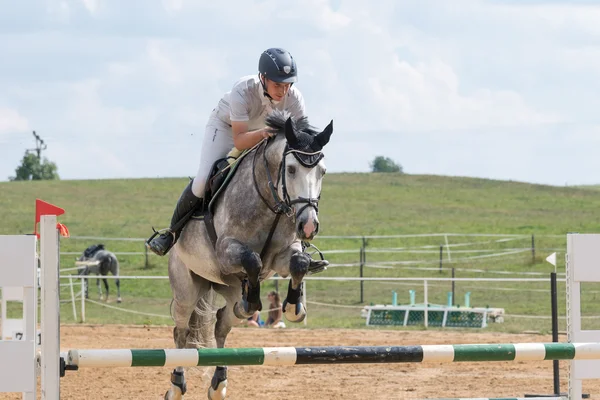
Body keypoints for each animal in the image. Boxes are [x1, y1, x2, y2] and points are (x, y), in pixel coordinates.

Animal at [164, 109, 332, 400]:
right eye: (290, 169)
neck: (272, 203)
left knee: (222, 322)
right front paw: (253, 301)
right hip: (187, 289)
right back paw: (176, 384)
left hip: (227, 288)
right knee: (182, 332)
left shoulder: (282, 256)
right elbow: (252, 260)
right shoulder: (226, 251)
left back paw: (219, 382)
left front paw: (293, 308)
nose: (308, 226)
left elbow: (298, 263)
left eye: (321, 171)